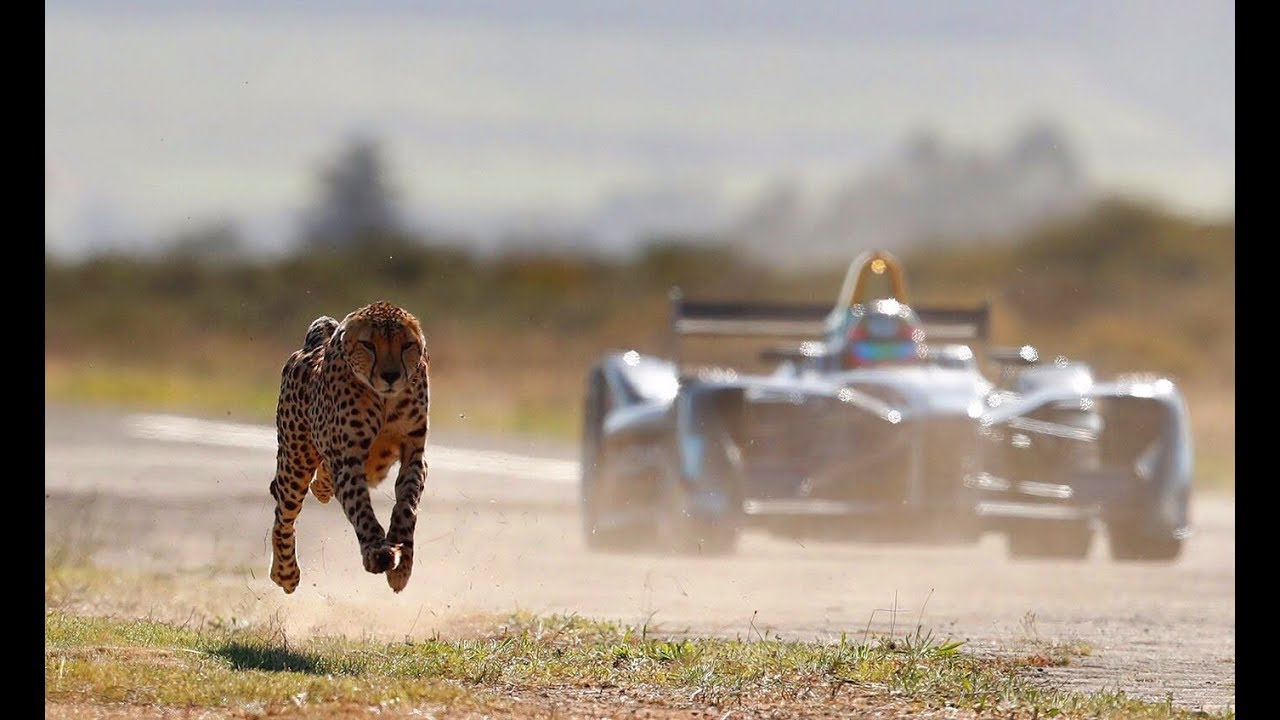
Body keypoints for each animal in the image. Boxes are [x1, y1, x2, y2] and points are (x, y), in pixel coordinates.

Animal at [268, 299, 430, 591]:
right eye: (369, 345)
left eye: (406, 345)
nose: (391, 375)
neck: (384, 400)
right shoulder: (347, 459)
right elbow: (360, 506)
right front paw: (376, 549)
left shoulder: (414, 454)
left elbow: (407, 504)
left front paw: (402, 561)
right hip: (296, 462)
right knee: (283, 513)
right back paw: (285, 572)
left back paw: (321, 488)